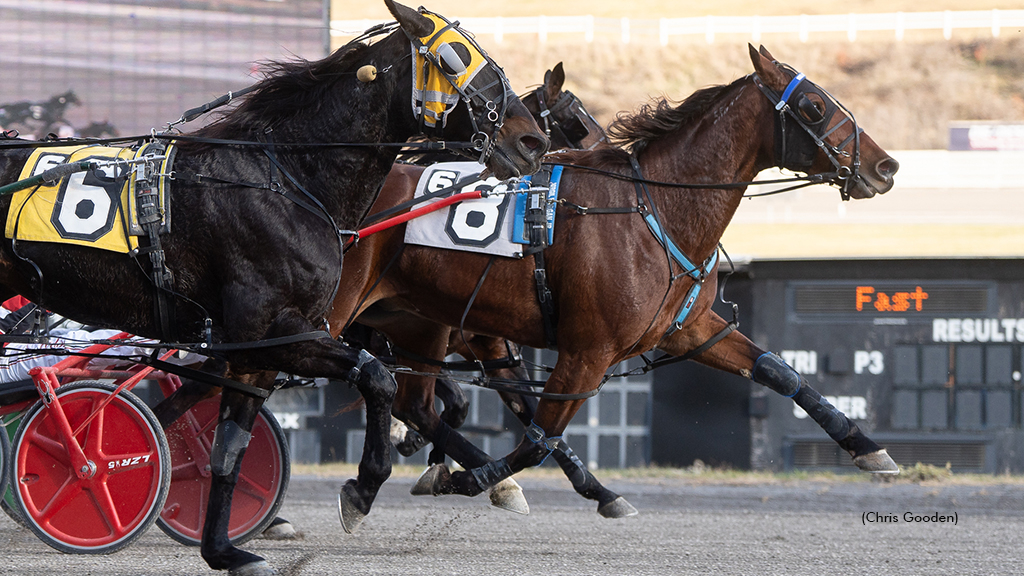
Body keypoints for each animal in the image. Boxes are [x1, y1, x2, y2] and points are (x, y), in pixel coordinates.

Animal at [0, 2, 544, 569]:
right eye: (454, 58)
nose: (532, 141)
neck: (285, 180)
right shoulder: (273, 332)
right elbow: (379, 378)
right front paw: (363, 486)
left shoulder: (259, 350)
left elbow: (229, 449)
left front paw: (223, 549)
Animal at [325, 43, 897, 502]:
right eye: (814, 107)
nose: (885, 166)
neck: (655, 210)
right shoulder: (587, 351)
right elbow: (538, 437)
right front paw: (473, 479)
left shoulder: (687, 328)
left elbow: (782, 373)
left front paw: (868, 448)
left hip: (415, 323)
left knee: (411, 399)